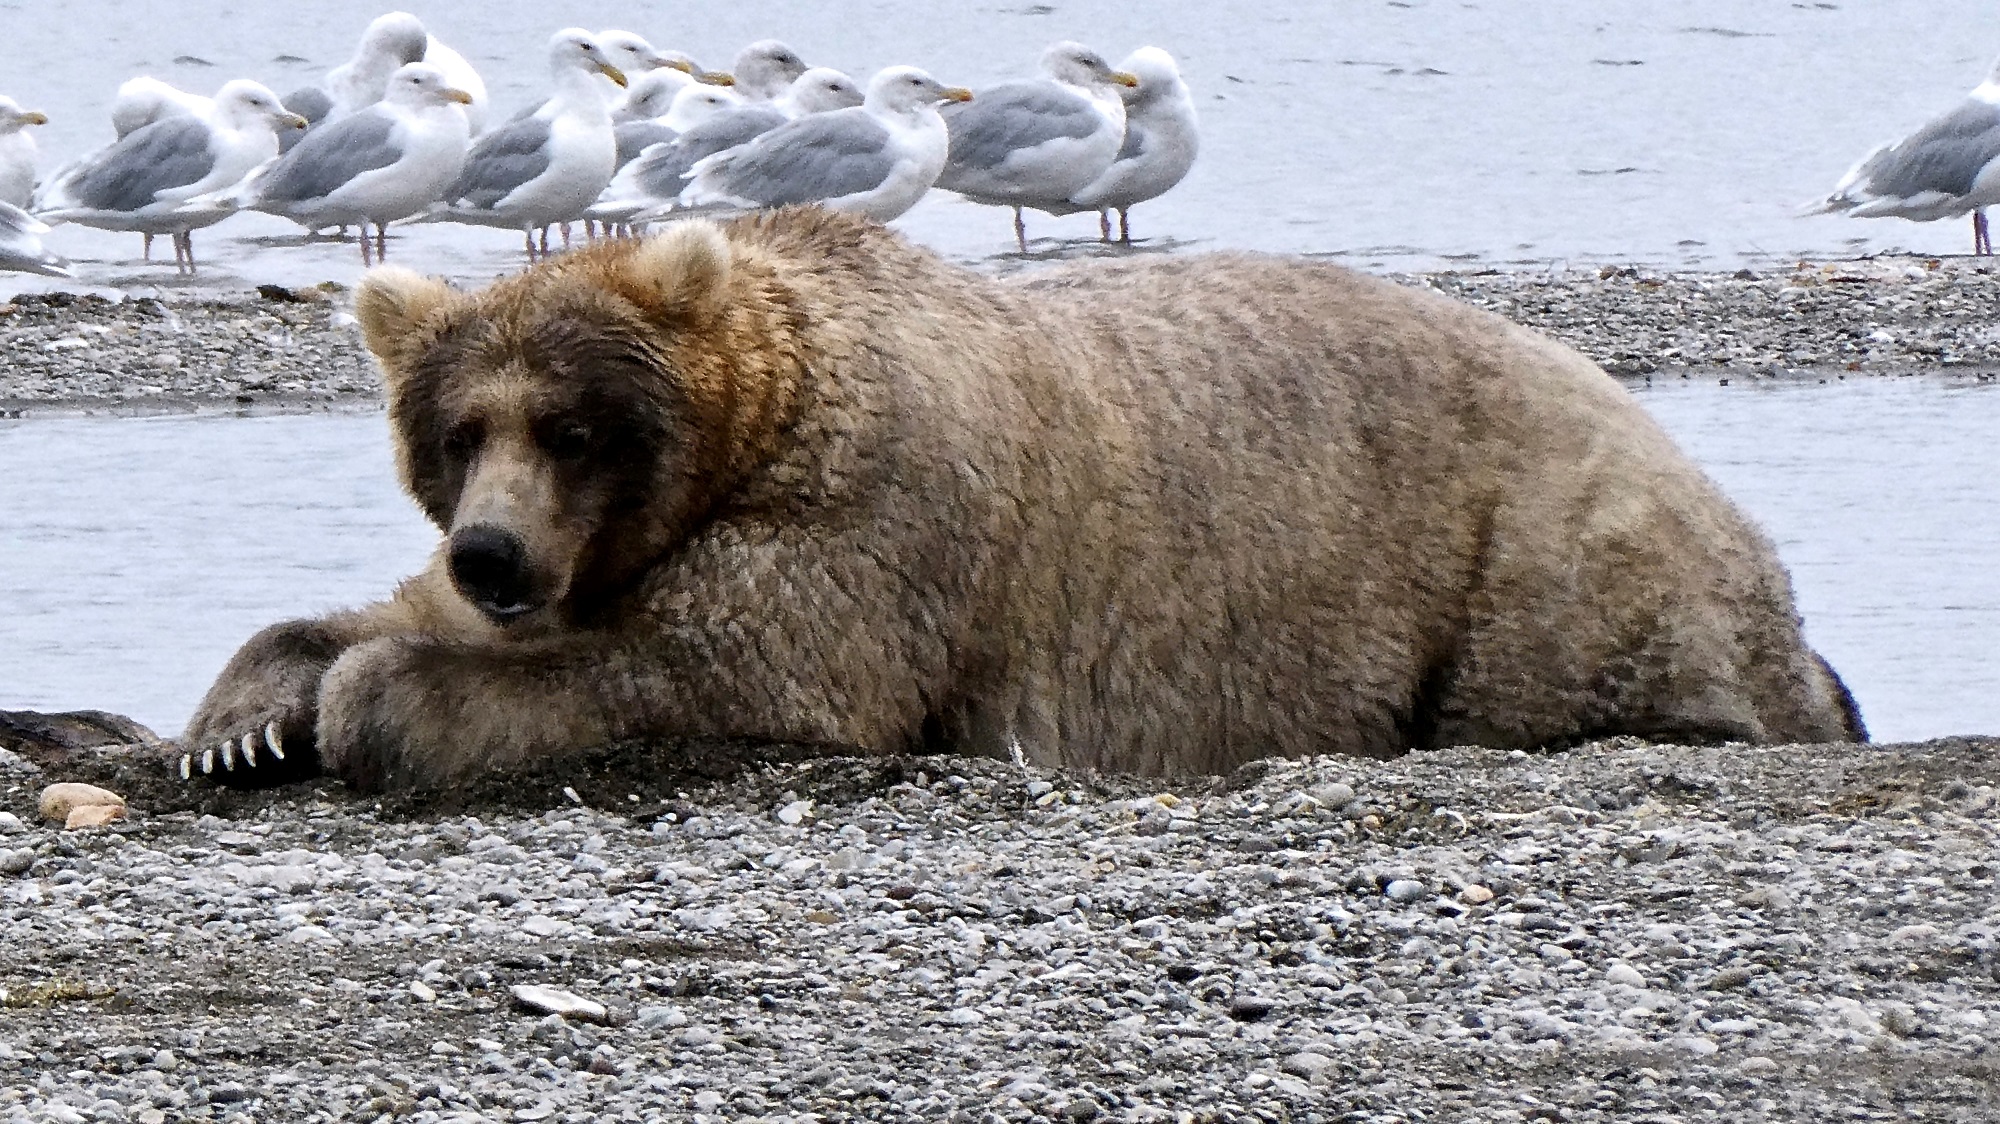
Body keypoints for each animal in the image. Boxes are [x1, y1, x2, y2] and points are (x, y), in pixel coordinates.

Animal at [180, 208, 1864, 788]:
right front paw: (250, 713)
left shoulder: (869, 522)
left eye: (579, 426)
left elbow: (731, 667)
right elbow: (358, 613)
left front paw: (378, 696)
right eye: (460, 429)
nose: (495, 556)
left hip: (1536, 542)